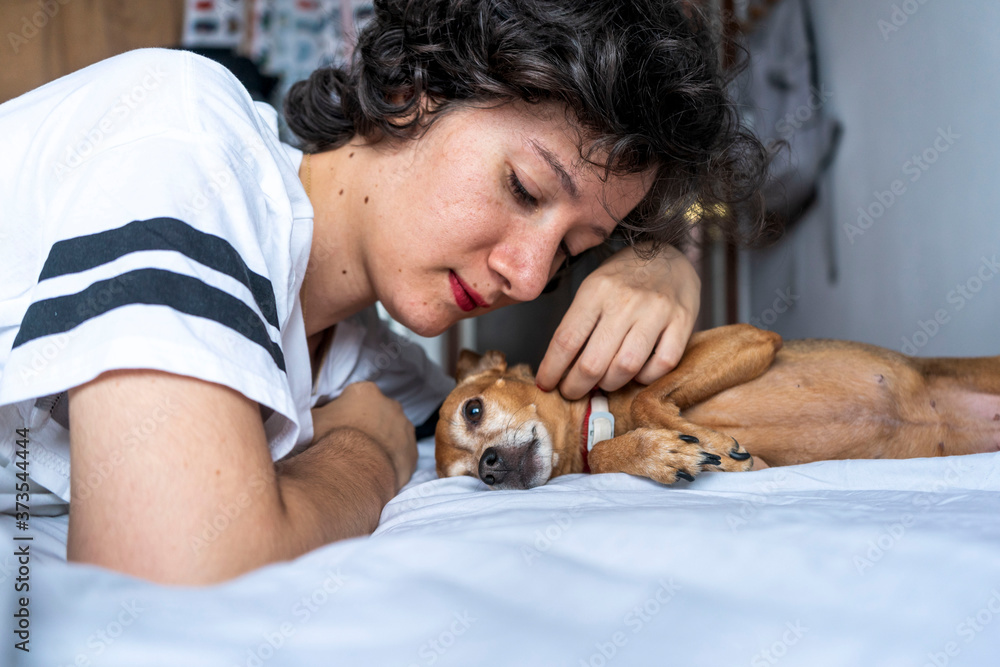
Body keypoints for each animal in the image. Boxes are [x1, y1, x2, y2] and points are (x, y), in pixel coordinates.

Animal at [435, 324, 1000, 489]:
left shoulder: (748, 336)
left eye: (473, 410)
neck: (599, 423)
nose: (488, 468)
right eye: (470, 479)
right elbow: (612, 454)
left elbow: (647, 397)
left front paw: (708, 443)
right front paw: (662, 452)